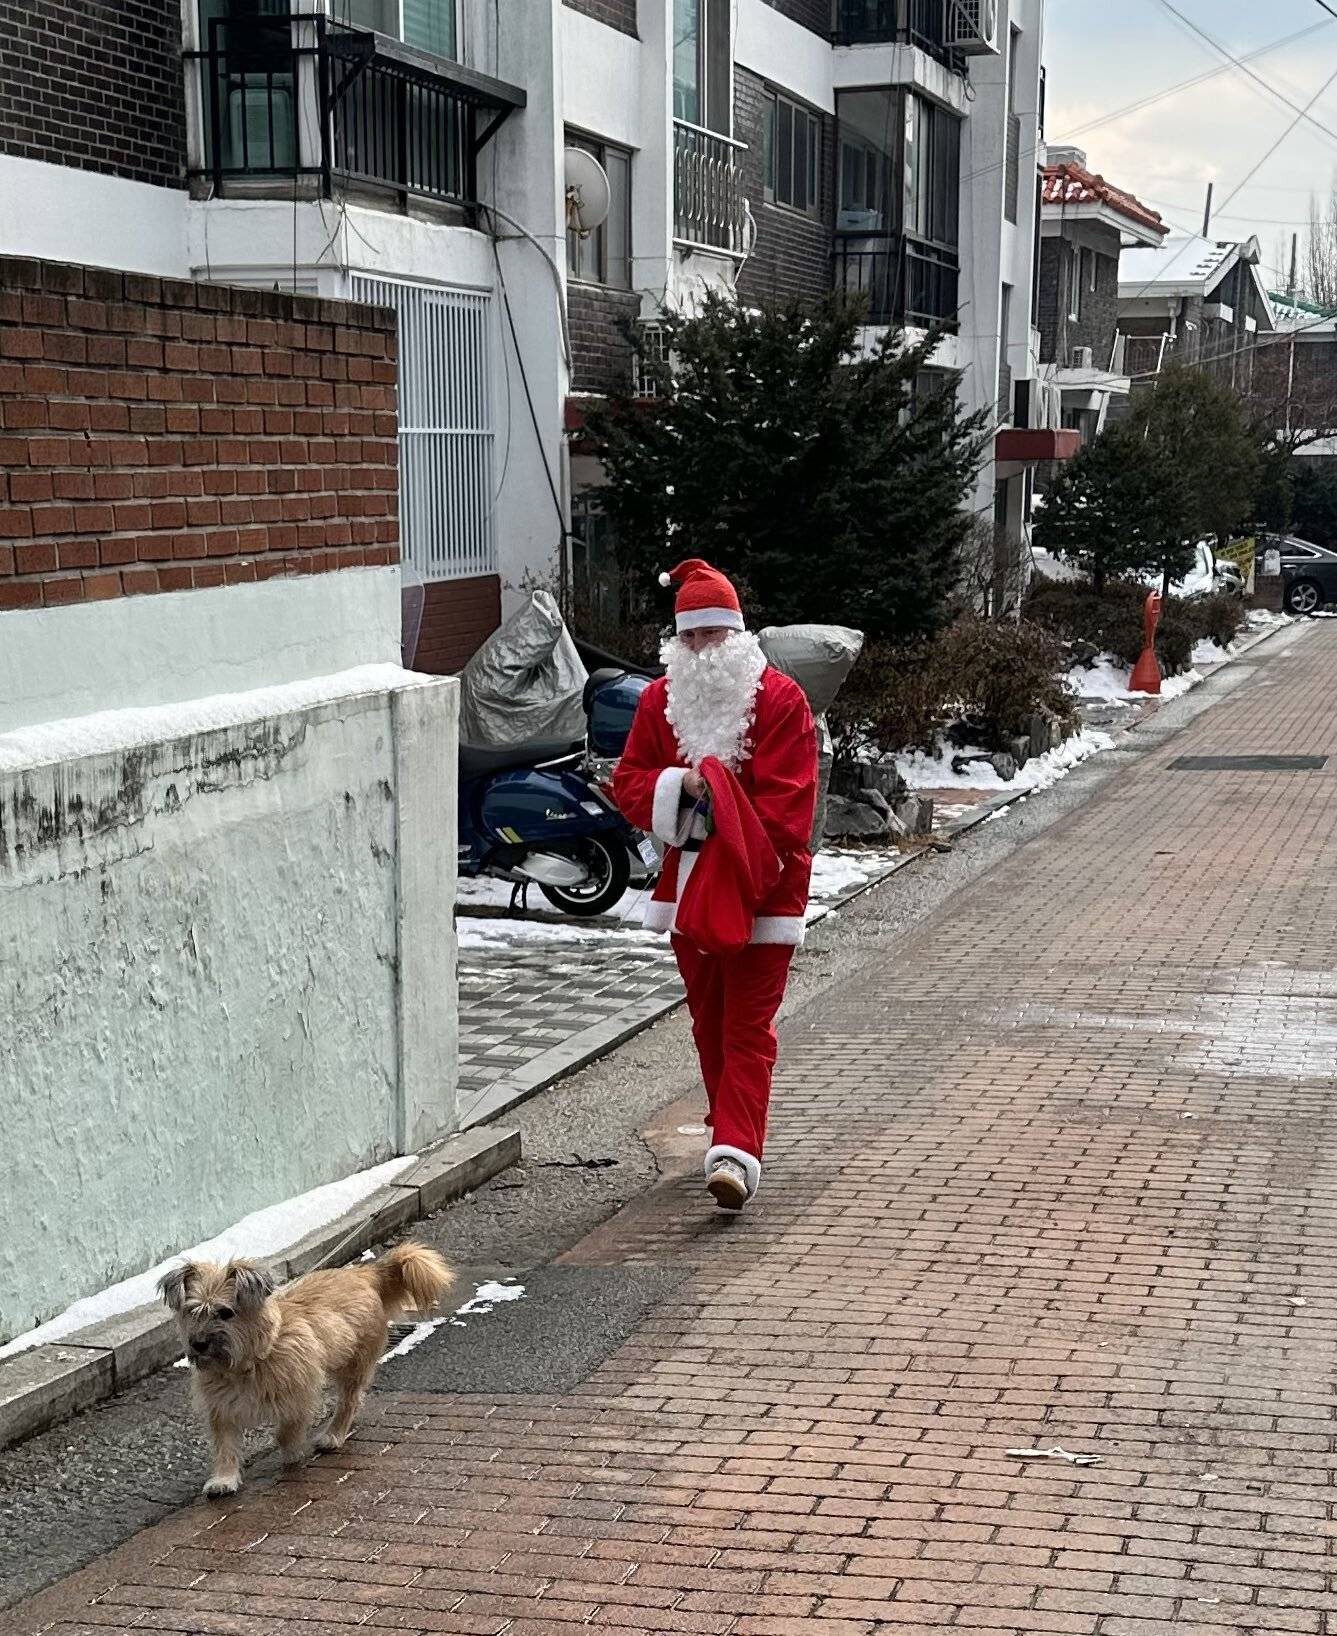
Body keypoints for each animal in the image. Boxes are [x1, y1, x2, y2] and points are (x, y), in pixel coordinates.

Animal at [160, 1236, 454, 1498]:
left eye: (225, 1313)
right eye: (192, 1311)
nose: (198, 1344)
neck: (252, 1360)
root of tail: (364, 1274)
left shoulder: (299, 1393)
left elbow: (285, 1431)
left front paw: (292, 1452)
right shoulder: (221, 1407)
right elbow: (225, 1445)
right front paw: (224, 1479)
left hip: (353, 1363)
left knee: (349, 1400)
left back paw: (334, 1434)